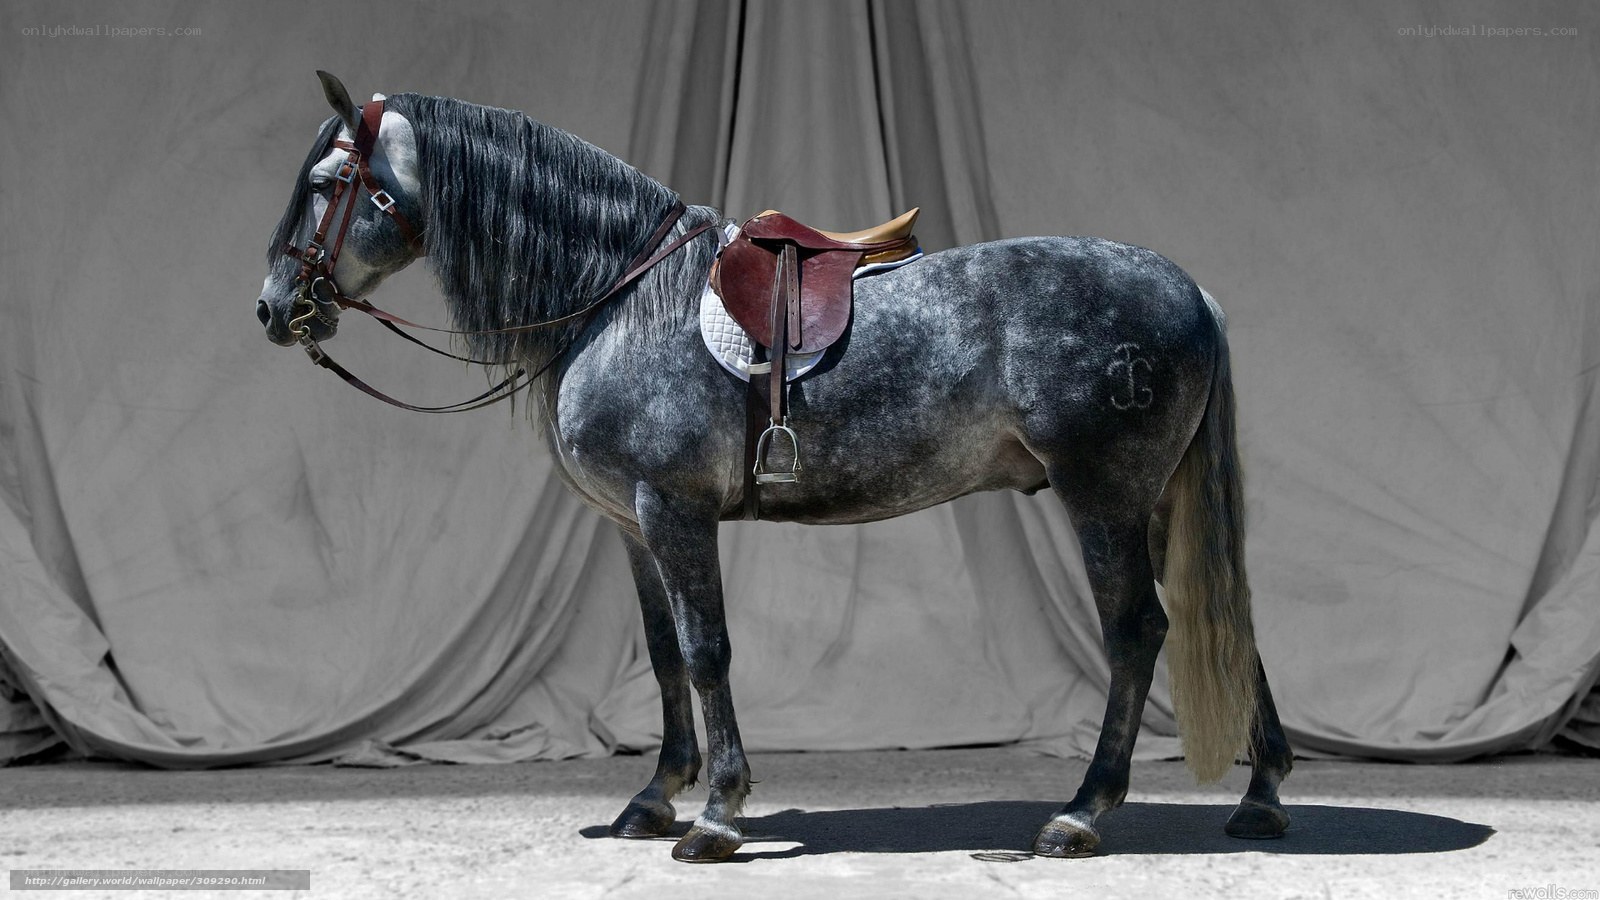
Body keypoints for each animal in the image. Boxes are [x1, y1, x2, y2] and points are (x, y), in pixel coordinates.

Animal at [254, 71, 1293, 863]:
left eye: (330, 181)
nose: (272, 308)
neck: (622, 296)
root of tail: (1192, 292)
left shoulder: (673, 511)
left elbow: (708, 652)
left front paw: (716, 815)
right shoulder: (633, 525)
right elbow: (665, 652)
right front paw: (653, 798)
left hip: (1103, 499)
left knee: (1138, 633)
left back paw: (1081, 813)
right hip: (1159, 504)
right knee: (1224, 620)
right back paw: (1262, 798)